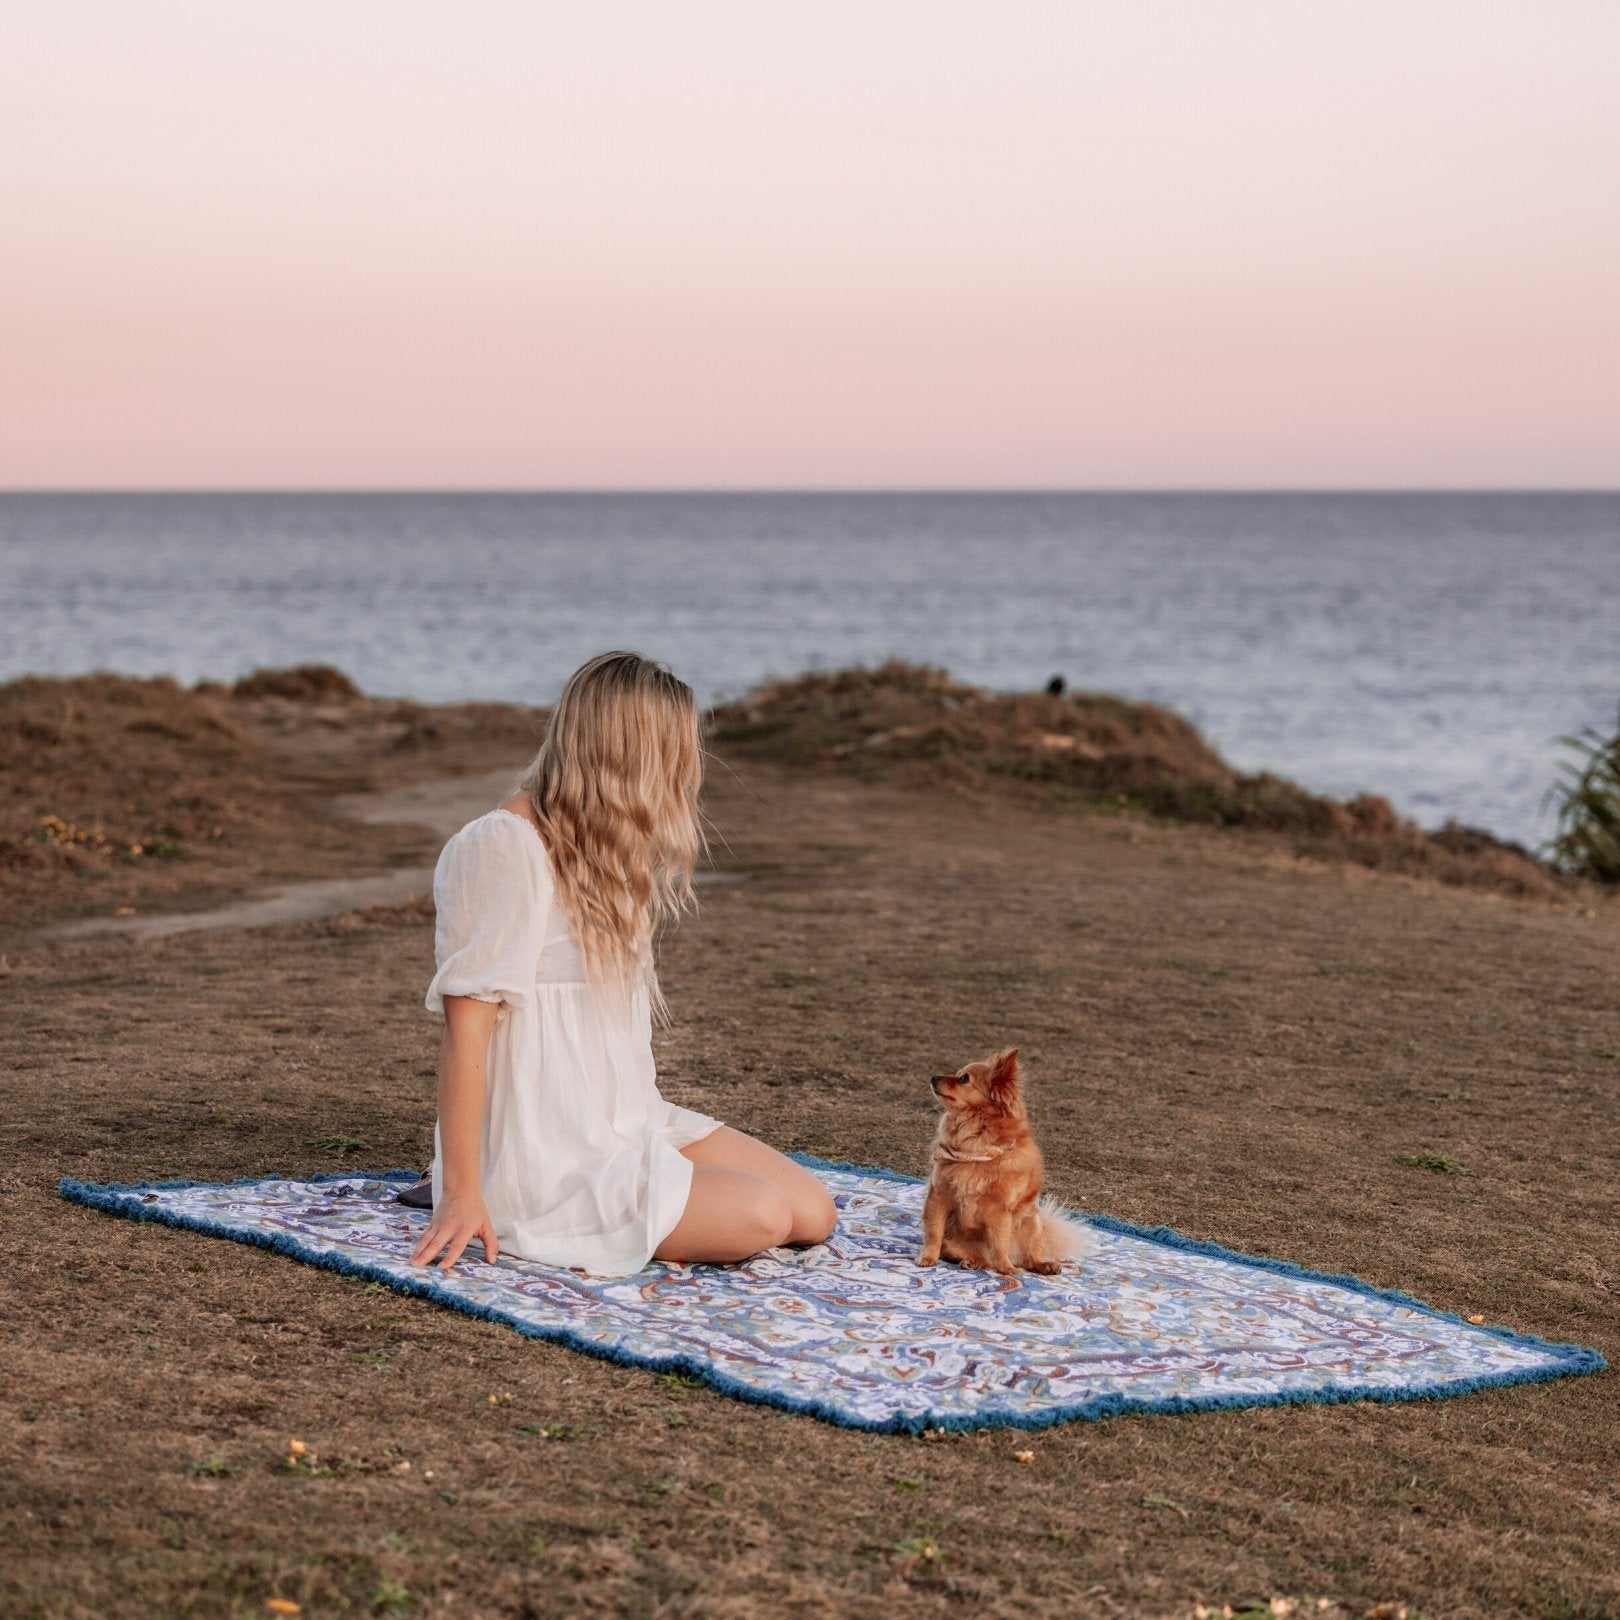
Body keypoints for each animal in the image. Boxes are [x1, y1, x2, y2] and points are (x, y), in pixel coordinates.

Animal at [913, 1049, 1088, 1276]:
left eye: (963, 1079)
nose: (934, 1077)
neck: (976, 1148)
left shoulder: (999, 1211)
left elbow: (1000, 1242)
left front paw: (1006, 1269)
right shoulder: (939, 1196)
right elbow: (934, 1232)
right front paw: (927, 1257)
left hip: (1031, 1223)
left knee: (1026, 1257)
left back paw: (1043, 1265)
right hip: (955, 1241)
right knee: (979, 1258)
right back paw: (972, 1261)